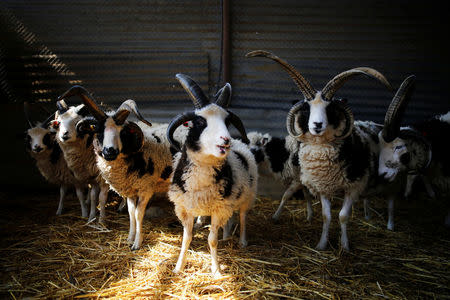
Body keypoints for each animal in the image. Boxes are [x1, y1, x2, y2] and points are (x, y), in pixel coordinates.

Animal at [59, 86, 186, 251]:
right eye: (98, 131)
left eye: (122, 132)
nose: (109, 151)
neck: (137, 153)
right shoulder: (130, 190)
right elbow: (131, 213)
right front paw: (129, 239)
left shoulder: (146, 188)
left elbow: (138, 214)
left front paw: (137, 244)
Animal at [166, 74, 258, 278]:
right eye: (200, 122)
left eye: (227, 122)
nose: (226, 140)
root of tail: (240, 143)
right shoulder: (185, 208)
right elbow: (186, 238)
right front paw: (178, 267)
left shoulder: (218, 208)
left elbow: (211, 240)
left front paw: (216, 271)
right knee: (229, 219)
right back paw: (224, 234)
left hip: (247, 196)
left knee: (242, 216)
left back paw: (242, 241)